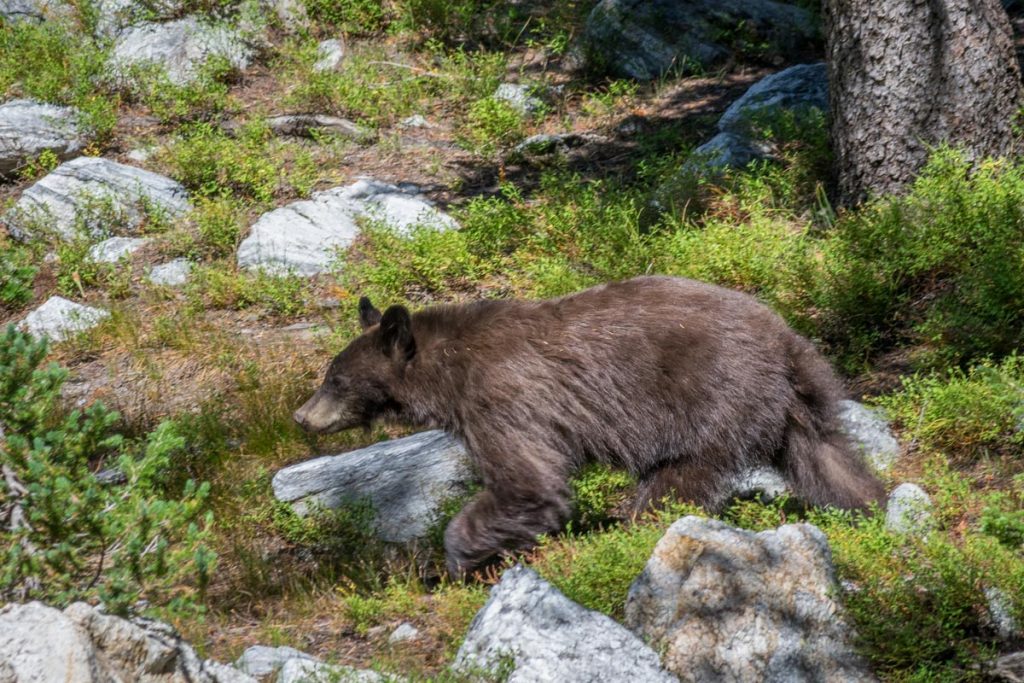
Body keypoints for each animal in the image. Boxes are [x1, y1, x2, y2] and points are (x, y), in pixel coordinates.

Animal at [292, 274, 884, 573]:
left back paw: (634, 534)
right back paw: (873, 507)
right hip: (791, 409)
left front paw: (456, 560)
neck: (448, 373)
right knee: (828, 459)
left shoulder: (505, 397)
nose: (301, 415)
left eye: (334, 379)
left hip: (713, 401)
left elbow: (529, 483)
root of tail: (786, 339)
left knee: (677, 480)